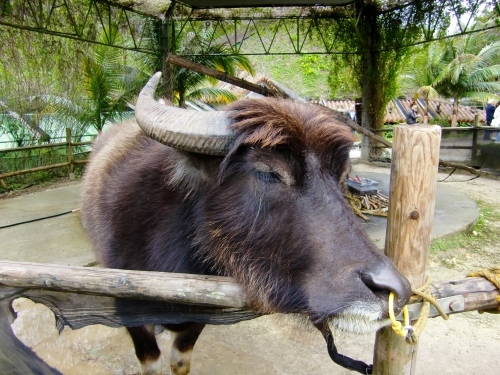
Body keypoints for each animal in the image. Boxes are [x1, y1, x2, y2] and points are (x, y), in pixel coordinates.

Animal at [81, 73, 410, 375]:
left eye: (341, 175)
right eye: (267, 172)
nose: (394, 290)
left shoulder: (201, 318)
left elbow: (180, 362)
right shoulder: (127, 312)